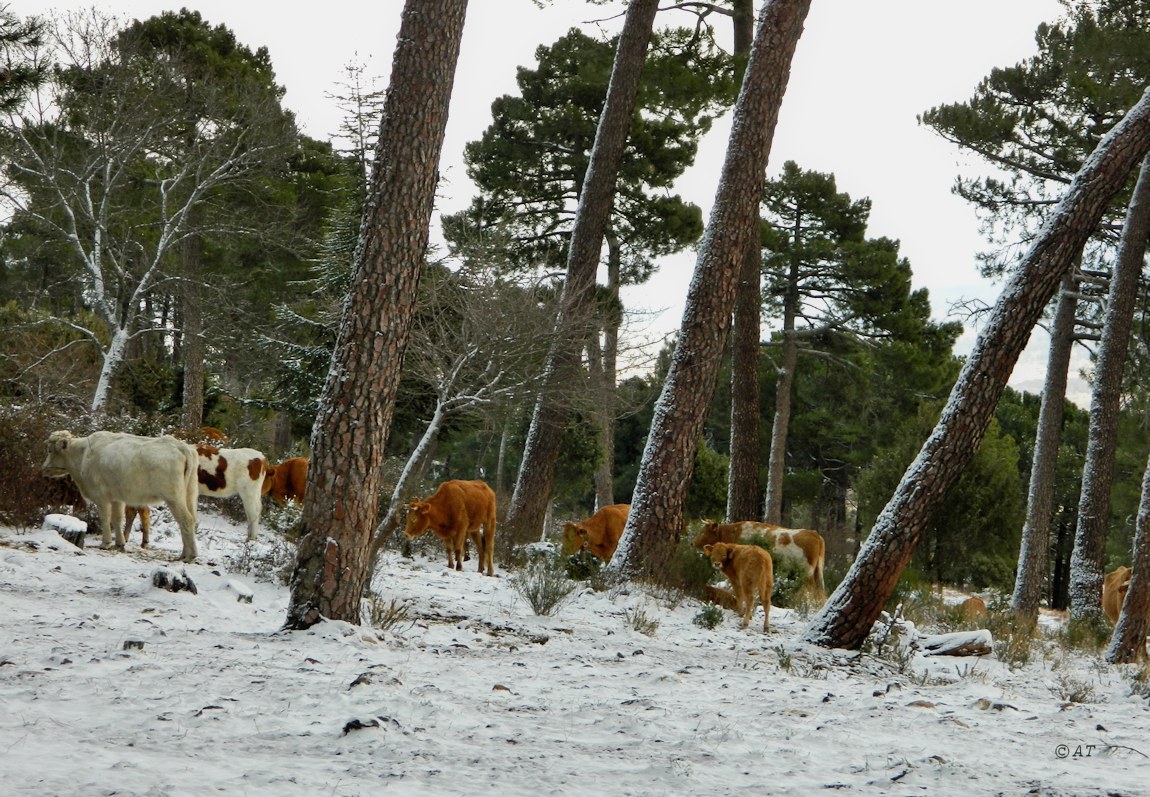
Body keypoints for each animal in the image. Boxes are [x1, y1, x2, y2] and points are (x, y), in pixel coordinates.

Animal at [41, 430, 200, 558]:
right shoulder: (117, 497)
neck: (83, 454)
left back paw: (189, 556)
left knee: (186, 520)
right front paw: (119, 544)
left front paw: (105, 543)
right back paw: (185, 553)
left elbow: (105, 518)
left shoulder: (101, 495)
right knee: (191, 519)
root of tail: (180, 445)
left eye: (49, 450)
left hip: (173, 497)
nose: (44, 468)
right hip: (190, 494)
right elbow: (117, 519)